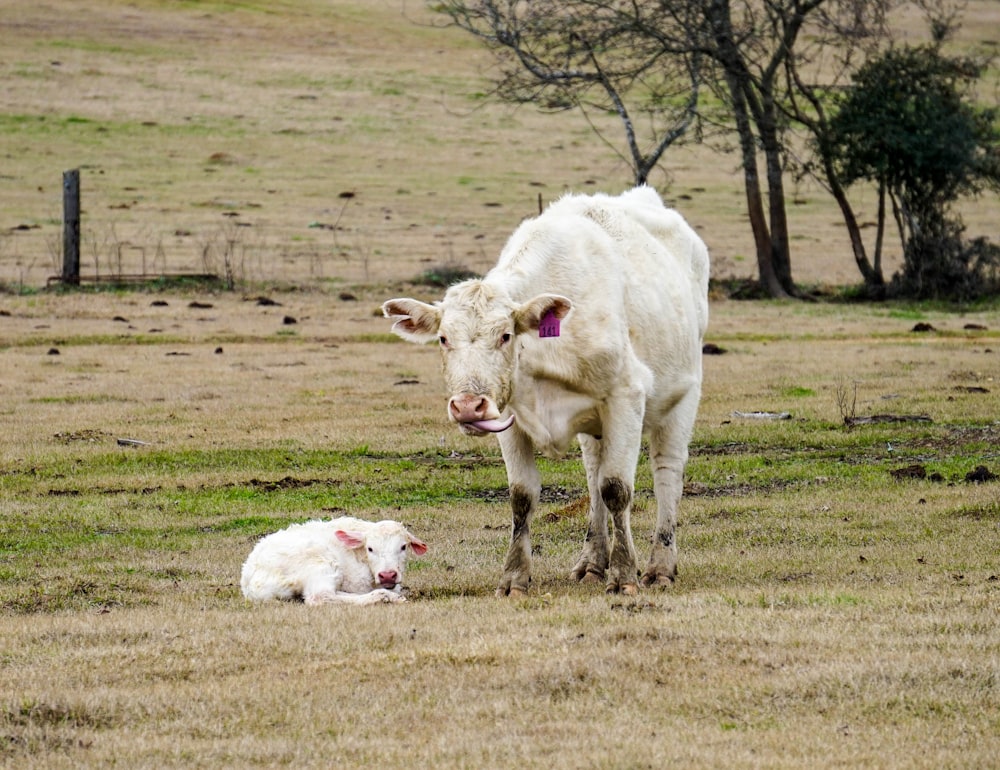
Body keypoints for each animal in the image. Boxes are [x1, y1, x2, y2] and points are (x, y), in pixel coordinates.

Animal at [245, 516, 430, 608]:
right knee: (320, 597)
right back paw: (385, 597)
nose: (387, 575)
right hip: (321, 564)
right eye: (370, 548)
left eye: (403, 546)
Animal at [380, 184, 704, 592]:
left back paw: (660, 566)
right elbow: (523, 495)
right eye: (442, 338)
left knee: (666, 473)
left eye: (505, 335)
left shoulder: (626, 397)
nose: (468, 406)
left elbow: (617, 489)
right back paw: (592, 562)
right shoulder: (509, 414)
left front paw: (624, 575)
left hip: (682, 399)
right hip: (594, 428)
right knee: (593, 474)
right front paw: (514, 577)